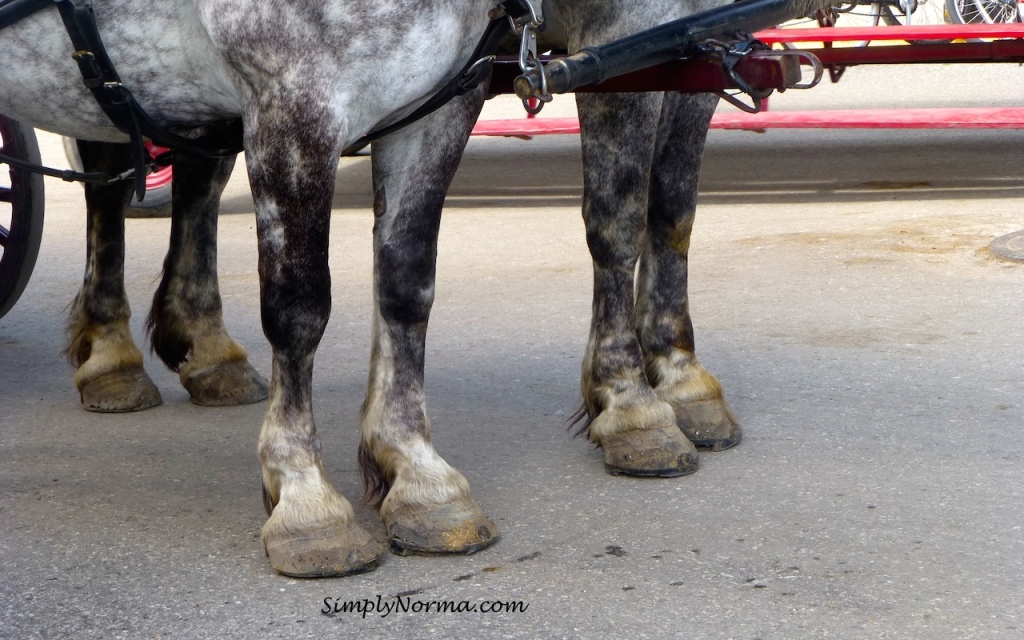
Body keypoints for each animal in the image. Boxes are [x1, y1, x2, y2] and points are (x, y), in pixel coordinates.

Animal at [0, 0, 815, 577]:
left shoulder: (441, 104)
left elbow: (408, 279)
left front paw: (417, 471)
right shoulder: (293, 103)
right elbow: (300, 306)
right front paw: (306, 500)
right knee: (117, 178)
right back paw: (116, 358)